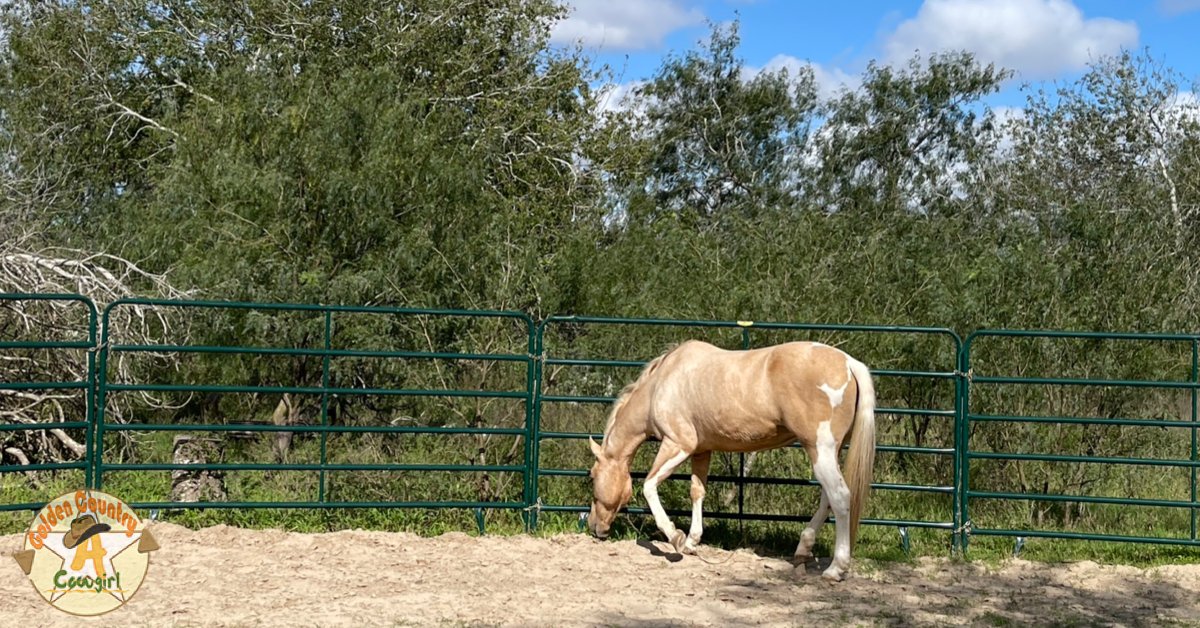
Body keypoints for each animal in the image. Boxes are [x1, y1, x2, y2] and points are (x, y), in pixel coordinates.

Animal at [586, 339, 876, 582]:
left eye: (592, 475)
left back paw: (836, 568)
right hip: (829, 452)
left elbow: (648, 486)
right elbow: (697, 491)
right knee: (828, 498)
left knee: (839, 496)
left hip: (820, 449)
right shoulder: (701, 451)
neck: (661, 384)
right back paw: (803, 550)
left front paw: (676, 538)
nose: (594, 527)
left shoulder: (678, 444)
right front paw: (691, 542)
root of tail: (849, 363)